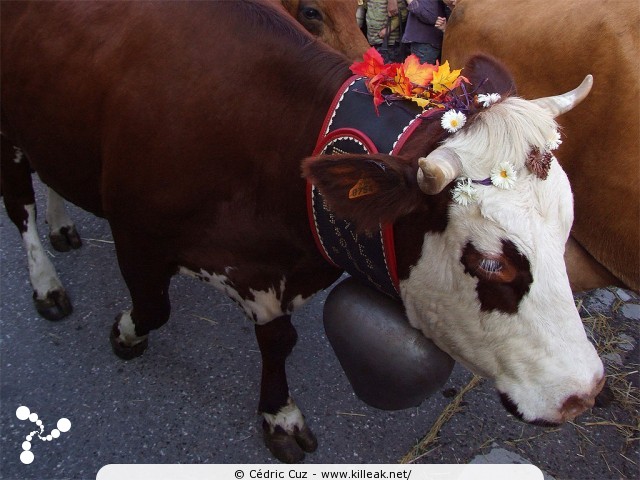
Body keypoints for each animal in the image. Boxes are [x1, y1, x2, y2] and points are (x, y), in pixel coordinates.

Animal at [2, 0, 604, 464]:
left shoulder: (274, 269)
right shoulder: (137, 235)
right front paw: (125, 334)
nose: (585, 391)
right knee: (19, 204)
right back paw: (46, 282)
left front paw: (279, 414)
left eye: (567, 231)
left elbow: (279, 340)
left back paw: (62, 225)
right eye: (491, 263)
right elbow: (152, 310)